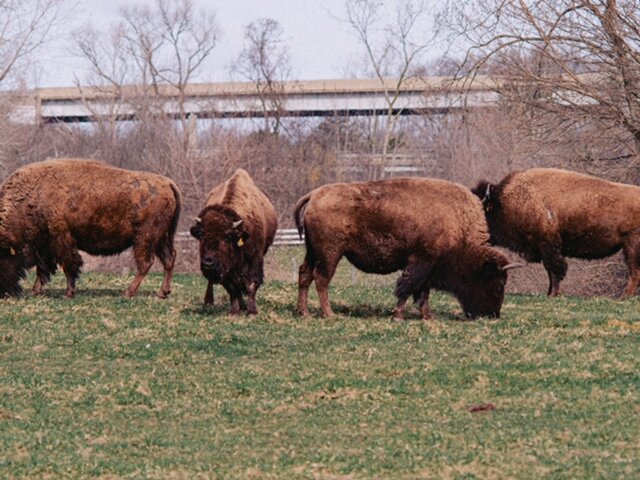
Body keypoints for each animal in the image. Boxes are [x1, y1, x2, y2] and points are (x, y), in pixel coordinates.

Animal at [0, 159, 182, 298]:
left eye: (1, 257)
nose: (4, 294)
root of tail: (168, 183)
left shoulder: (61, 239)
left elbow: (69, 266)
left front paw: (68, 293)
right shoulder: (44, 245)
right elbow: (43, 268)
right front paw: (35, 291)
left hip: (144, 238)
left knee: (145, 263)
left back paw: (128, 293)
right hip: (160, 239)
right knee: (168, 259)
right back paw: (163, 293)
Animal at [190, 169, 280, 316]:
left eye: (227, 237)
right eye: (202, 235)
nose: (208, 263)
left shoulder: (254, 260)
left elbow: (250, 284)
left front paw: (252, 312)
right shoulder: (228, 269)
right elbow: (232, 287)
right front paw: (233, 312)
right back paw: (210, 302)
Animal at [294, 178, 520, 320]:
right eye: (498, 283)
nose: (492, 315)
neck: (457, 220)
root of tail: (315, 194)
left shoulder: (428, 267)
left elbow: (422, 293)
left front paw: (428, 316)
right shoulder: (420, 262)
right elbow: (407, 288)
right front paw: (398, 317)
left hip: (312, 252)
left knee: (305, 274)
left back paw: (304, 313)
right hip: (330, 253)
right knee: (321, 279)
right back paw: (329, 314)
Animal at [470, 168, 640, 296]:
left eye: (481, 213)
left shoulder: (548, 246)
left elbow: (555, 270)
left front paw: (553, 294)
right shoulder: (545, 248)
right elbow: (550, 271)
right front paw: (549, 293)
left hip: (631, 247)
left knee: (634, 272)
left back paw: (624, 297)